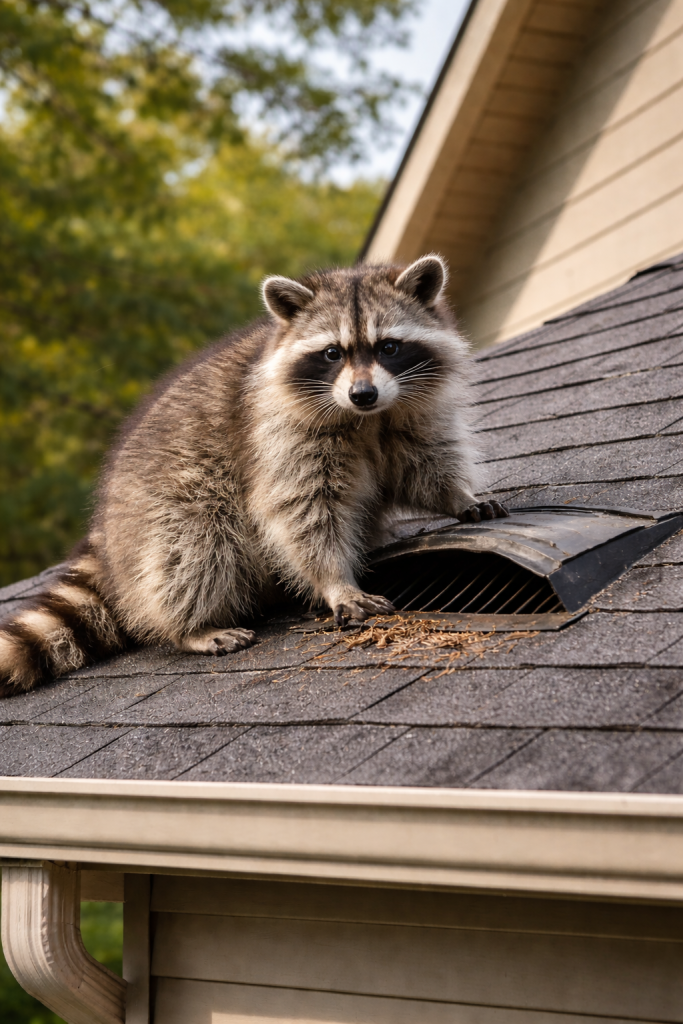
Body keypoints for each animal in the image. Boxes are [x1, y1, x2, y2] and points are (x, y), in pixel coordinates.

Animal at [0, 255, 508, 695]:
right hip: (163, 504)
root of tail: (107, 534)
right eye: (332, 353)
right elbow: (302, 510)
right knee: (194, 545)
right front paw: (334, 581)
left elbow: (422, 463)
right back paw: (191, 626)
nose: (362, 394)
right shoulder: (276, 433)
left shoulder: (409, 411)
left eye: (389, 347)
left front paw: (458, 495)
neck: (368, 419)